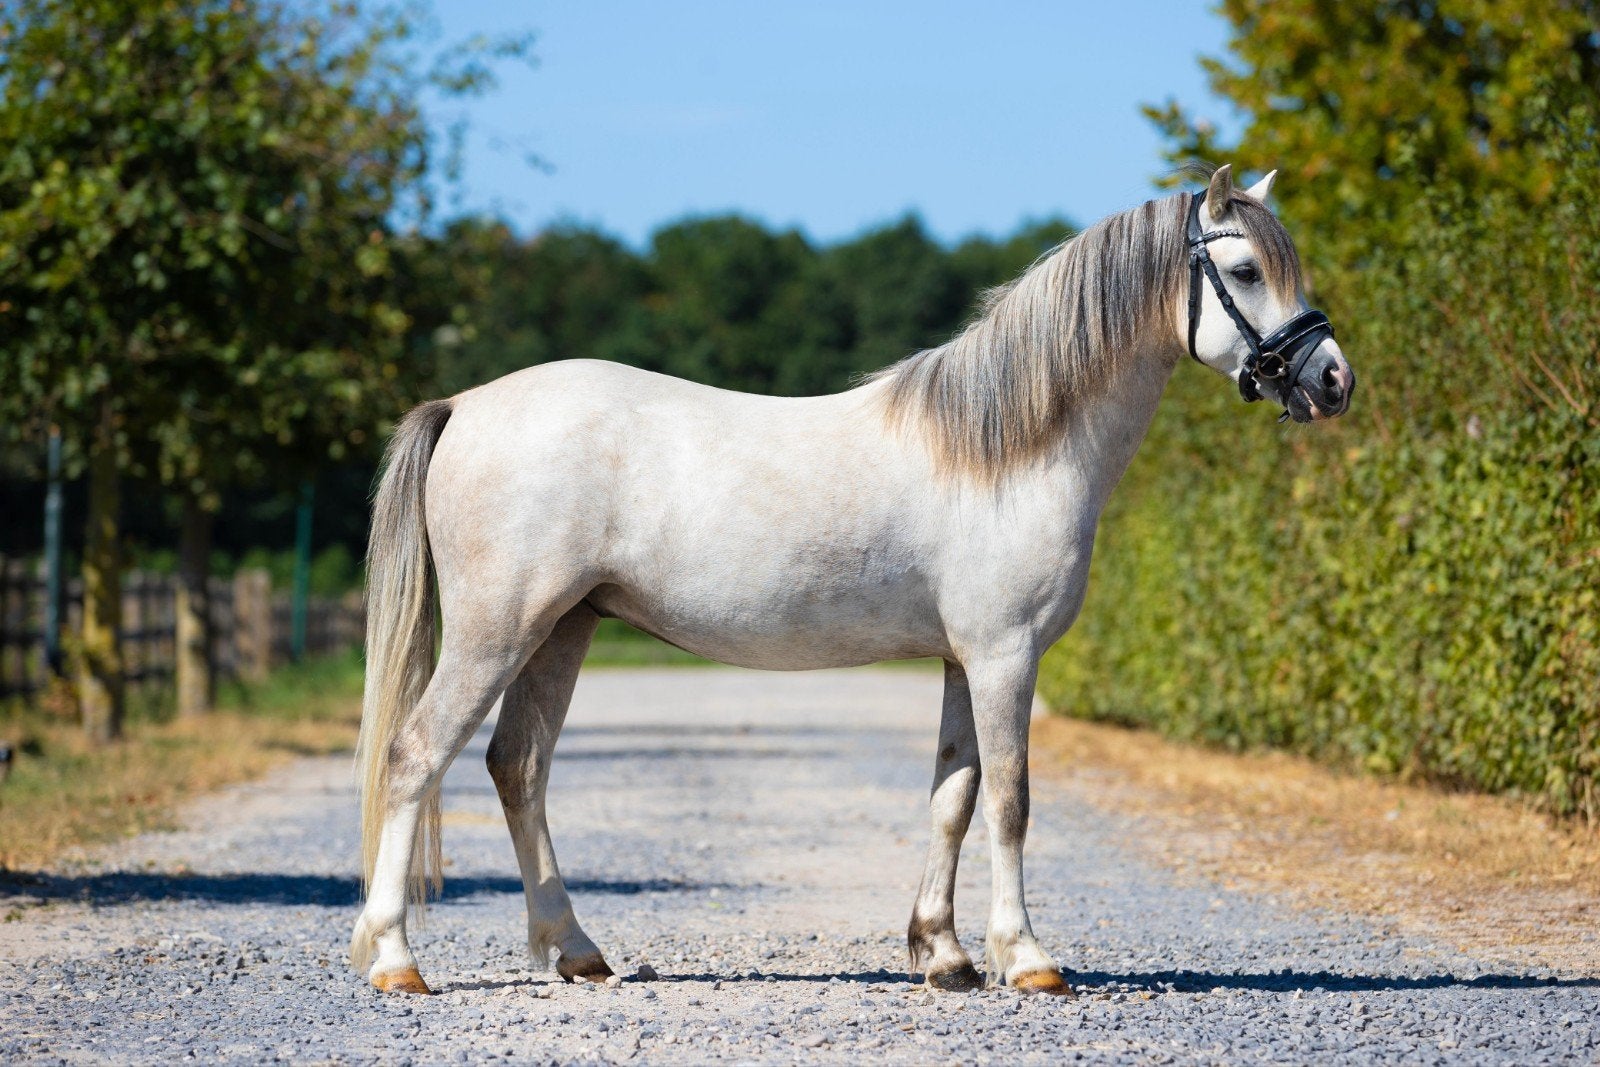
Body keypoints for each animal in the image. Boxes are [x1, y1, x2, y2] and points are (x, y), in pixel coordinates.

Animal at [349, 164, 1355, 997]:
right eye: (1248, 270)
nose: (1333, 380)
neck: (1011, 447)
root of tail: (463, 406)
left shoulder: (963, 659)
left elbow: (954, 795)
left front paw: (945, 954)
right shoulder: (1005, 654)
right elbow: (1012, 799)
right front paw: (1027, 958)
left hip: (563, 629)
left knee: (517, 767)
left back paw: (576, 949)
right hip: (497, 632)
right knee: (414, 756)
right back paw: (396, 960)